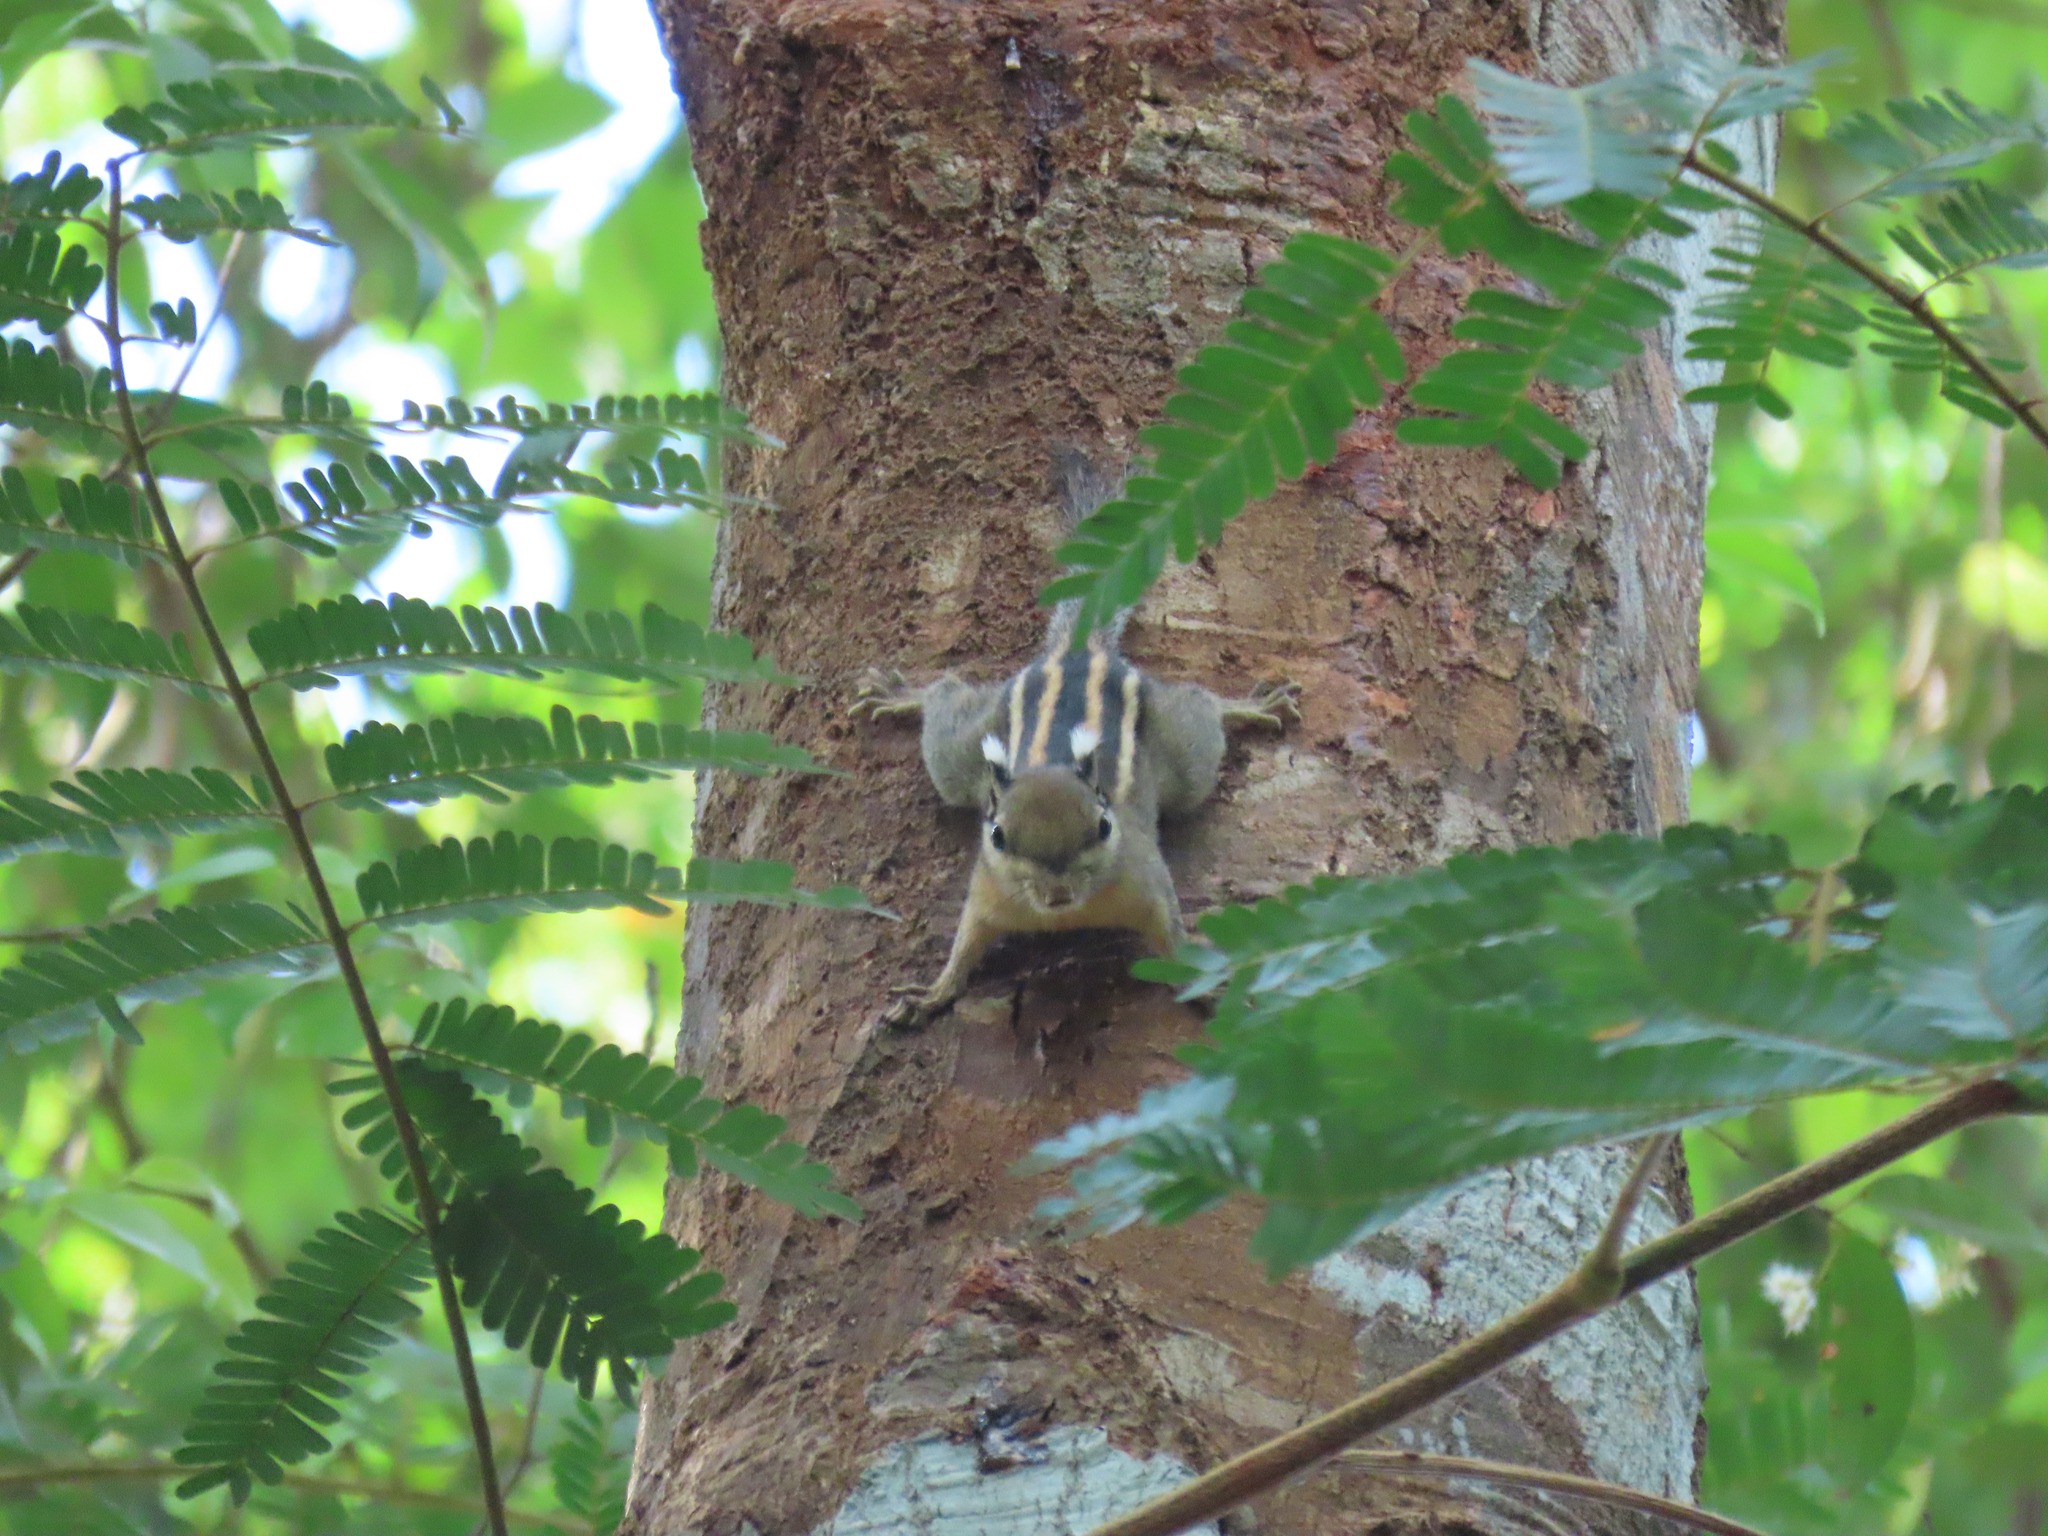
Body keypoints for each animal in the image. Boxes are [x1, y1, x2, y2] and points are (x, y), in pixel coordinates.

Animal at [850, 448, 1297, 1024]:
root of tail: (1077, 652)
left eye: (1102, 826)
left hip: (1186, 757)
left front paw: (1212, 988)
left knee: (1202, 706)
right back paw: (902, 694)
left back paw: (1248, 705)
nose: (1057, 890)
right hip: (963, 752)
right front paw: (932, 993)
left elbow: (1175, 940)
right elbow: (964, 945)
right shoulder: (986, 893)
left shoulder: (1149, 882)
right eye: (998, 836)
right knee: (946, 700)